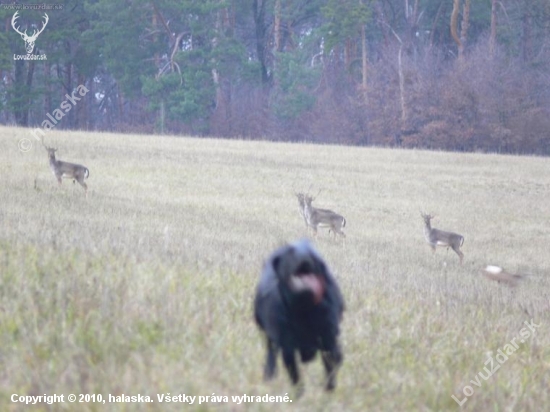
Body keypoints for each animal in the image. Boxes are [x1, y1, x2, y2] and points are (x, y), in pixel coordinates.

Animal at [254, 241, 344, 392]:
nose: (304, 257)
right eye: (290, 253)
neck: (303, 310)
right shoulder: (287, 347)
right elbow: (295, 378)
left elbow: (331, 370)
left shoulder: (329, 341)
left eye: (313, 256)